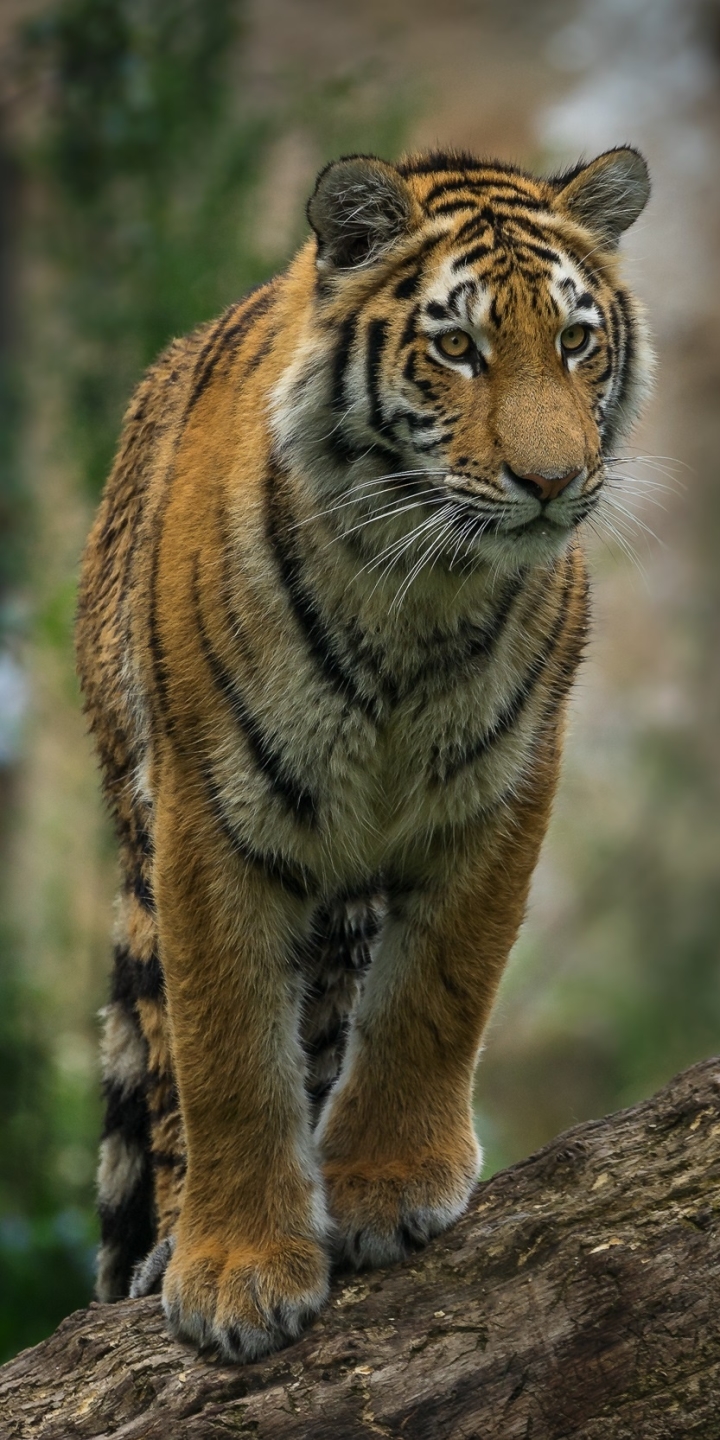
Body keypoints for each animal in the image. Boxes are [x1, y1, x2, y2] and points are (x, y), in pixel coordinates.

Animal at [77, 143, 653, 1359]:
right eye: (458, 347)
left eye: (577, 342)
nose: (553, 482)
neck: (419, 597)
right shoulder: (209, 815)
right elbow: (226, 1051)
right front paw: (235, 1275)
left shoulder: (503, 787)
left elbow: (437, 991)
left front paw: (387, 1189)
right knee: (166, 1069)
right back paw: (168, 1240)